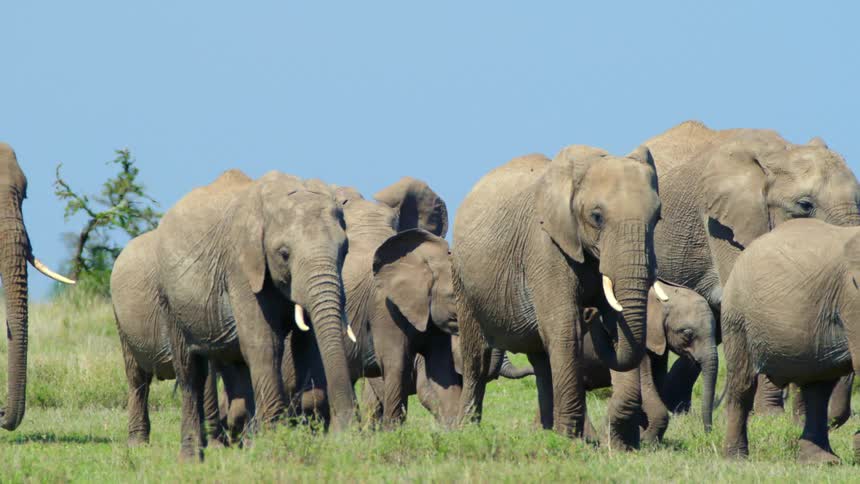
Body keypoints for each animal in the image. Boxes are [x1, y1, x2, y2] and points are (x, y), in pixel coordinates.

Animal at [111, 169, 356, 461]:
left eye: (344, 250)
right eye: (284, 254)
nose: (344, 435)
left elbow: (306, 346)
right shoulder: (241, 266)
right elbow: (264, 345)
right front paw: (275, 448)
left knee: (236, 367)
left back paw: (244, 444)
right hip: (166, 300)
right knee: (183, 374)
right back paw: (185, 457)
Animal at [452, 145, 667, 449]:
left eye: (657, 218)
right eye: (597, 216)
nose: (591, 313)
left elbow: (620, 332)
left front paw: (620, 447)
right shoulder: (545, 247)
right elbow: (566, 329)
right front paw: (570, 441)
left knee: (542, 362)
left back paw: (543, 432)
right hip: (462, 279)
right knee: (476, 358)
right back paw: (466, 430)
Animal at [577, 283, 717, 443]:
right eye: (687, 333)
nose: (708, 434)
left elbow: (657, 382)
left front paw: (642, 436)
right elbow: (645, 385)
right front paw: (646, 439)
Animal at [643, 120, 860, 416]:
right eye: (805, 205)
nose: (837, 420)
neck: (780, 153)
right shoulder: (720, 223)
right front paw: (771, 416)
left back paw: (677, 409)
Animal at [721, 218, 860, 464]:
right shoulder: (853, 297)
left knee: (818, 389)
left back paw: (821, 461)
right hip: (736, 314)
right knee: (742, 383)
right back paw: (736, 458)